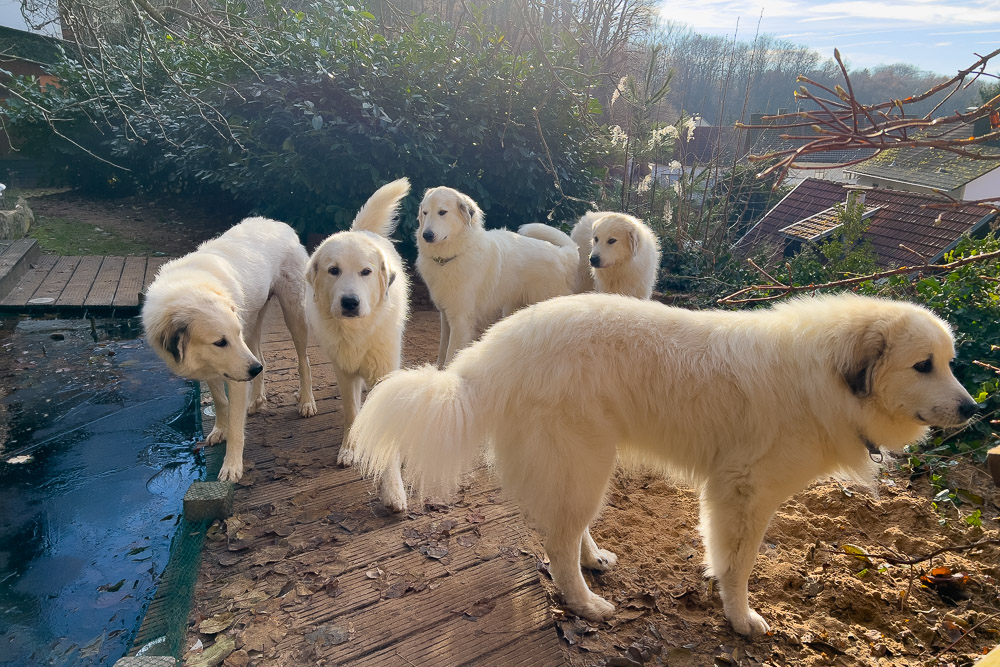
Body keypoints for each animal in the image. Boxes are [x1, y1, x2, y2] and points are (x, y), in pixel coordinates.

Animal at [141, 217, 316, 482]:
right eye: (220, 342)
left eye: (234, 335)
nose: (253, 370)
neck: (189, 287)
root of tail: (280, 224)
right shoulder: (213, 368)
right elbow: (220, 402)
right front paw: (219, 429)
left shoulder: (236, 373)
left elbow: (235, 426)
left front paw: (232, 466)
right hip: (254, 322)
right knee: (263, 359)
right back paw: (256, 400)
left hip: (293, 314)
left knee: (302, 360)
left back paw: (306, 401)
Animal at [306, 177, 412, 512]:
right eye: (334, 270)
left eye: (366, 272)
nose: (350, 302)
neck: (357, 331)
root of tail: (361, 229)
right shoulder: (344, 371)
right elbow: (351, 413)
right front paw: (349, 449)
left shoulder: (384, 372)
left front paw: (392, 489)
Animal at [344, 294, 976, 636]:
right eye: (923, 365)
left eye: (949, 362)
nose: (974, 409)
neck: (826, 374)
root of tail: (487, 358)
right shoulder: (744, 492)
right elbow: (739, 566)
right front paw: (740, 619)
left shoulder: (731, 493)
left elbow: (725, 557)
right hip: (585, 463)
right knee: (556, 545)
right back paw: (586, 603)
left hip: (585, 467)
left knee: (567, 531)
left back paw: (594, 559)